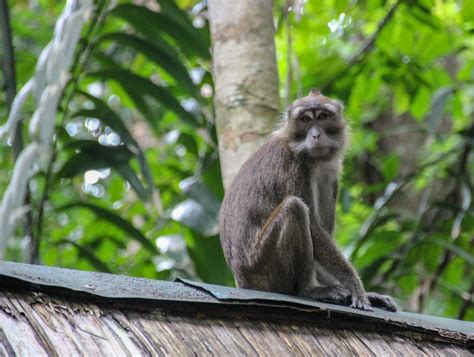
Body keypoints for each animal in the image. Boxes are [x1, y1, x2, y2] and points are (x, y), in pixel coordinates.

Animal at [220, 89, 398, 312]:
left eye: (322, 116)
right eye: (305, 119)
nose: (315, 135)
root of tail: (243, 280)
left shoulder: (330, 174)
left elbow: (323, 232)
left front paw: (366, 293)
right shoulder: (294, 166)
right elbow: (314, 228)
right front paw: (355, 286)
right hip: (261, 267)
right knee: (294, 207)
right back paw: (308, 290)